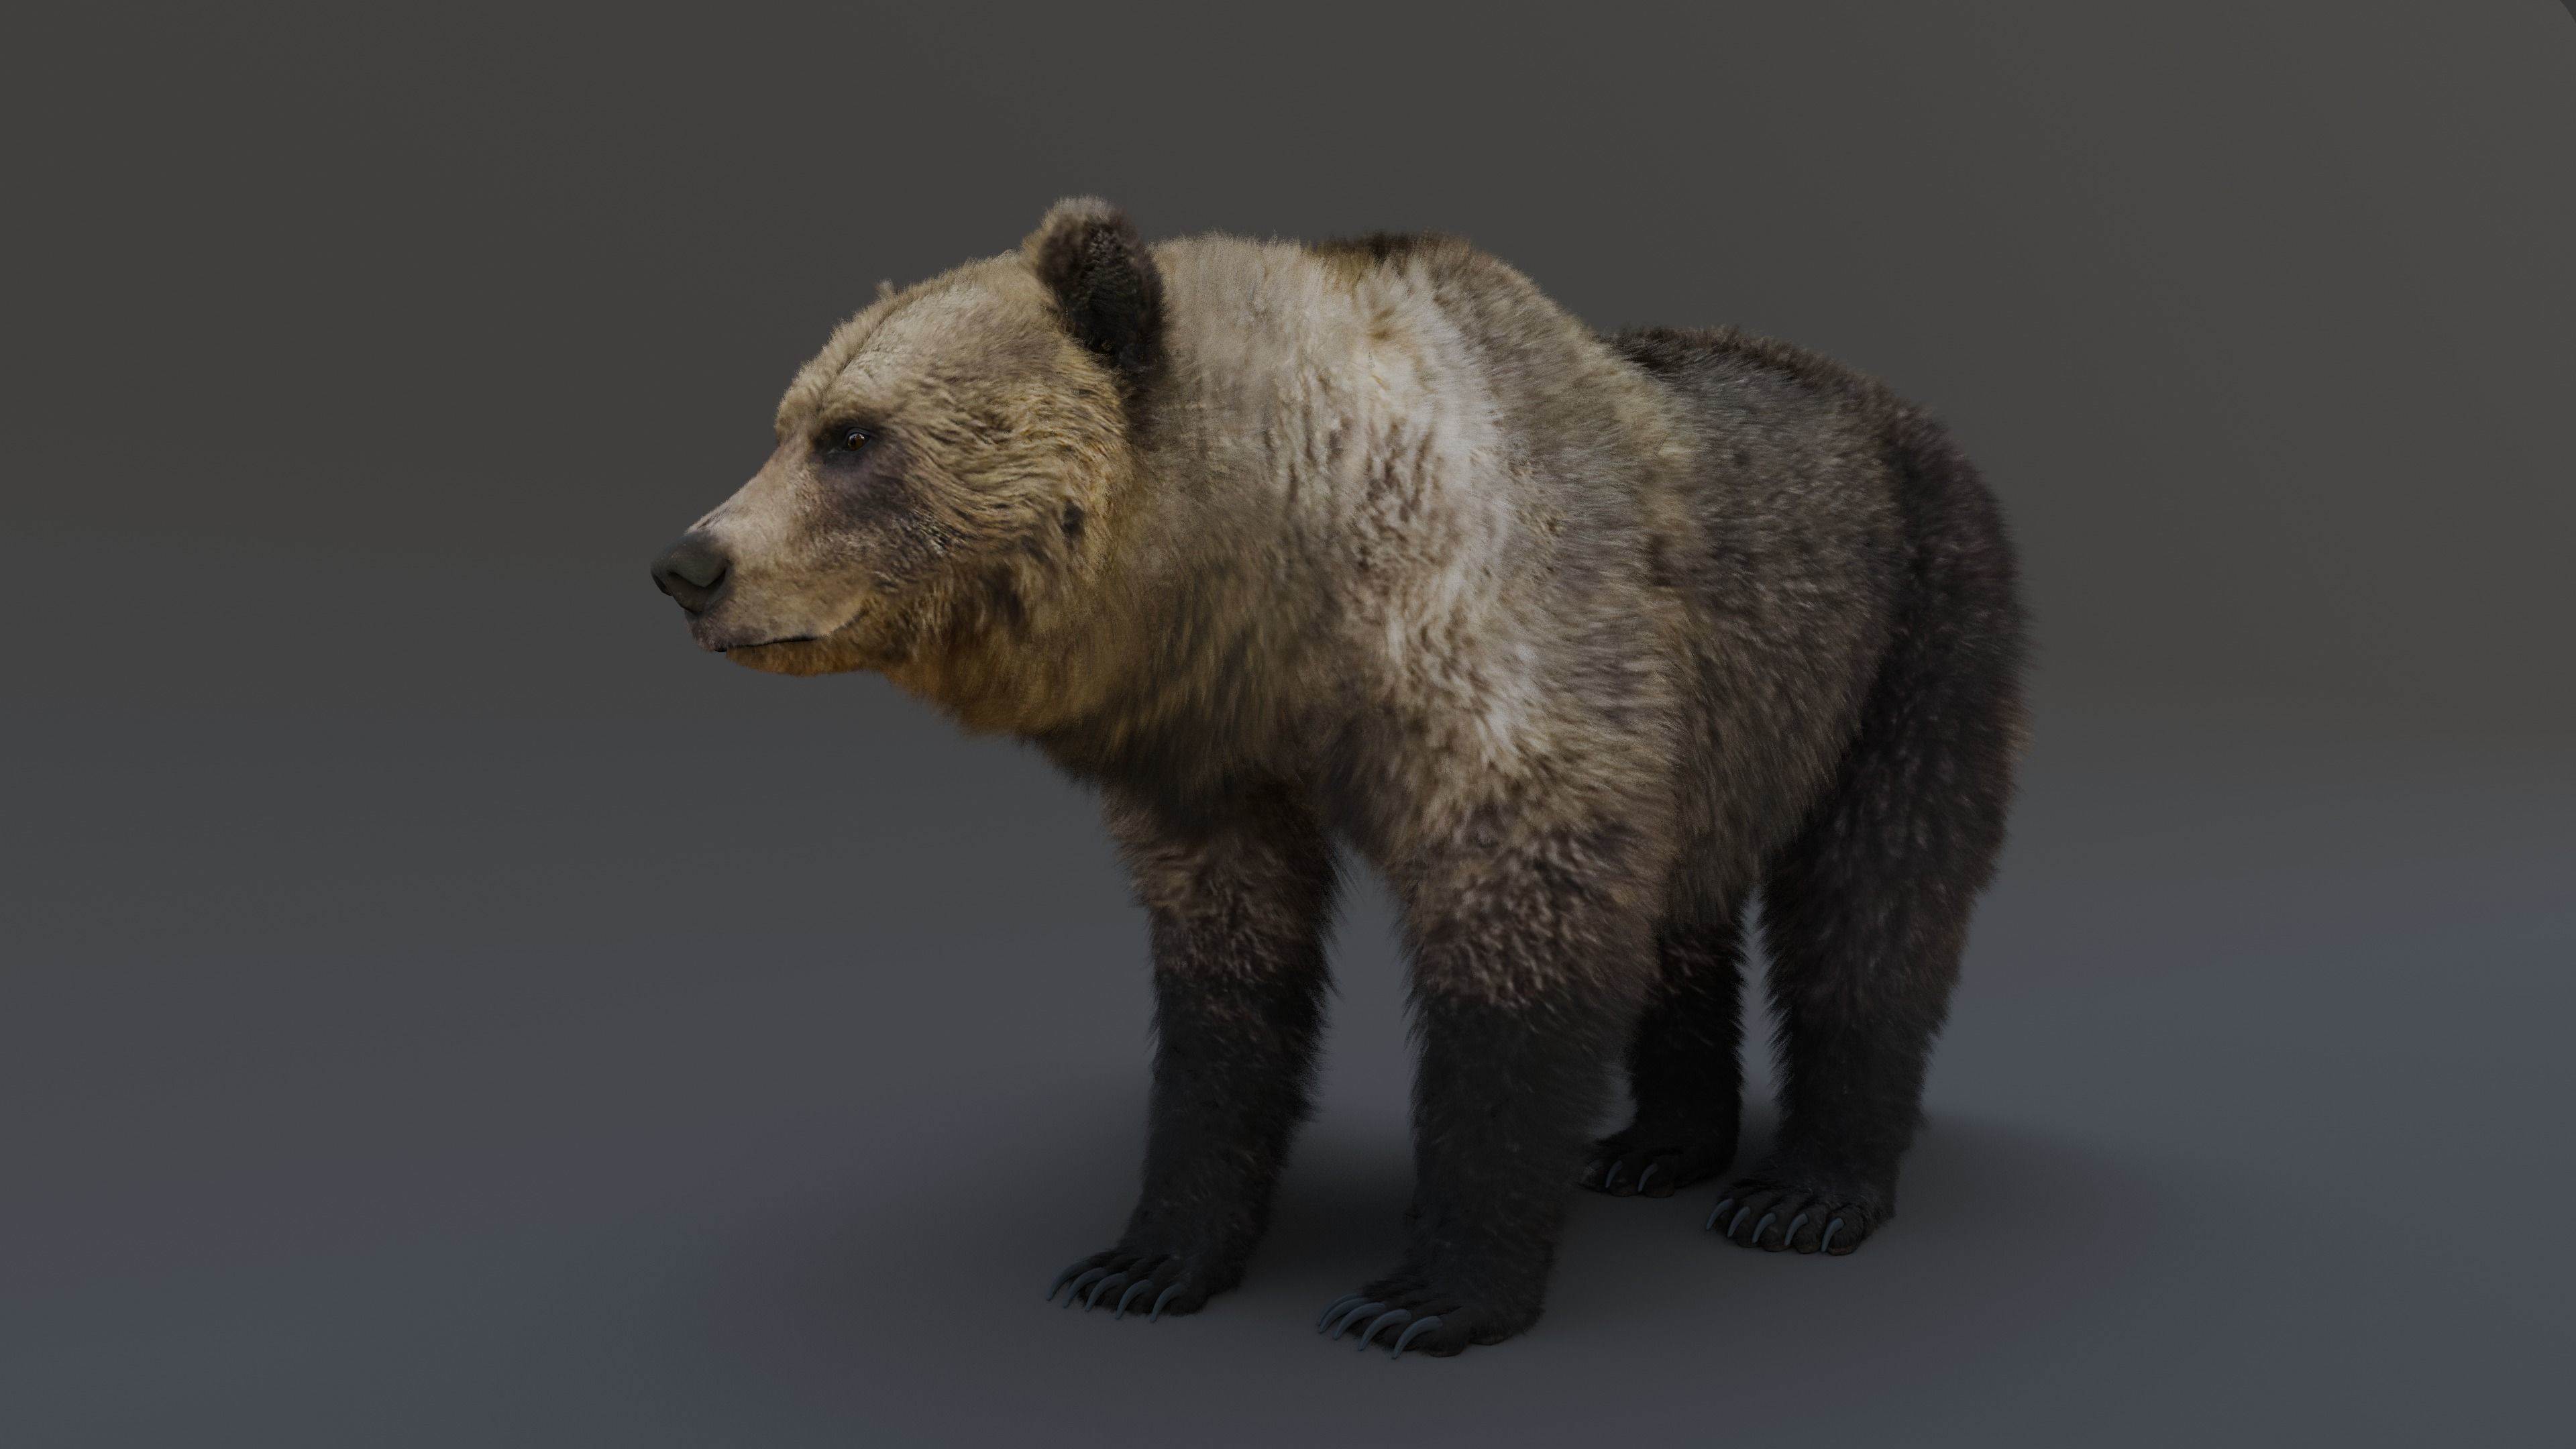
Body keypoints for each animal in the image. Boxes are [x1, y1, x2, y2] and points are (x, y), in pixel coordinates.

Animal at [651, 199, 2029, 1357]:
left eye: (853, 435)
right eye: (788, 421)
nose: (690, 565)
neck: (1287, 580)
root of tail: (1892, 406)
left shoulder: (1507, 662)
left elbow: (1519, 947)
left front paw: (1428, 1294)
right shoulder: (1215, 759)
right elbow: (1226, 982)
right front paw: (1146, 1259)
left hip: (1910, 627)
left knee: (1879, 892)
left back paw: (1808, 1192)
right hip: (1724, 724)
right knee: (1685, 901)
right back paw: (1656, 1144)